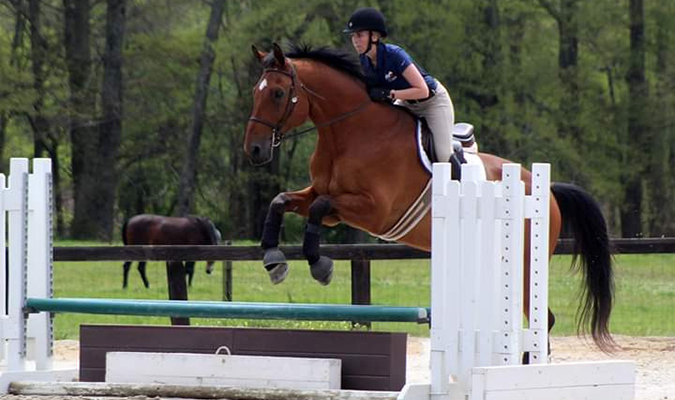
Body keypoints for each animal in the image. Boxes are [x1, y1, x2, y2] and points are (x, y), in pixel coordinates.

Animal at [244, 42, 616, 352]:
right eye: (255, 92)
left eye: (278, 93)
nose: (254, 150)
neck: (350, 133)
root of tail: (547, 193)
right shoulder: (326, 198)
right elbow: (282, 201)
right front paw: (274, 260)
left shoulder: (374, 211)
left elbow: (319, 209)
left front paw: (320, 266)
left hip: (525, 264)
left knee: (541, 321)